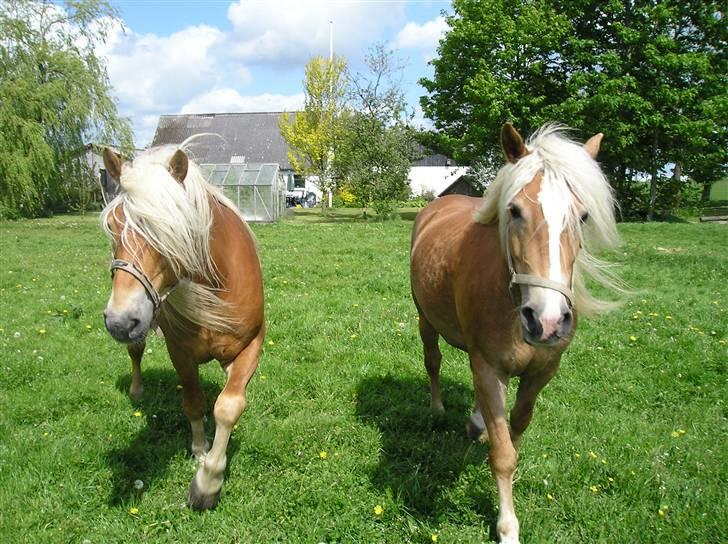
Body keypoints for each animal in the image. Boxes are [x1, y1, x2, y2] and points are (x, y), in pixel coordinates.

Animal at [99, 141, 264, 510]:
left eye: (171, 229)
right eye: (113, 226)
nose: (119, 321)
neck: (218, 282)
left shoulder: (252, 345)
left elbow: (228, 406)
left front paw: (208, 483)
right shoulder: (181, 353)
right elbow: (194, 401)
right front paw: (201, 453)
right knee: (136, 351)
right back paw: (137, 389)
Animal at [410, 124, 620, 544]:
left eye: (583, 216)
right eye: (516, 210)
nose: (548, 320)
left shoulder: (542, 371)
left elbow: (516, 429)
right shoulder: (490, 367)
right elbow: (504, 455)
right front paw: (508, 527)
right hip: (426, 320)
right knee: (433, 362)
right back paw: (439, 409)